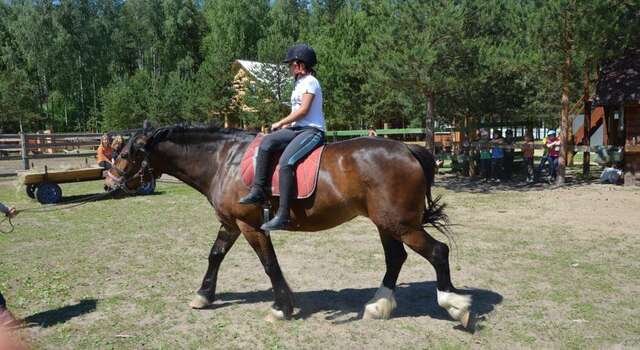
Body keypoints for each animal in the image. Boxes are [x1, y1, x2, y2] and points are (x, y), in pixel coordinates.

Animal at [105, 126, 472, 328]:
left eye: (124, 153)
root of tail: (408, 148)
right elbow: (215, 256)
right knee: (396, 258)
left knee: (438, 252)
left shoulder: (250, 226)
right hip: (387, 224)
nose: (109, 184)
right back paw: (378, 305)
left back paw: (456, 306)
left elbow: (269, 264)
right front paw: (203, 296)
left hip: (401, 225)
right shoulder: (230, 224)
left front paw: (281, 307)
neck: (225, 160)